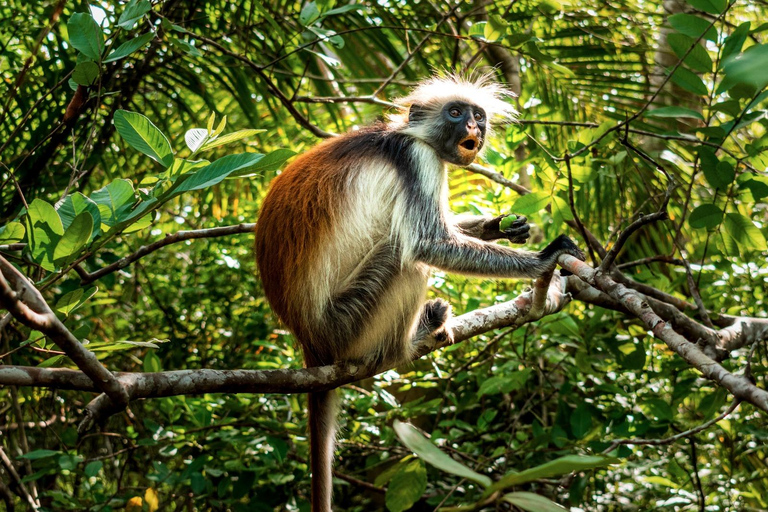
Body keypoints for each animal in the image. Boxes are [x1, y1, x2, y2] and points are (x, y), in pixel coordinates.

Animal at [255, 74, 584, 510]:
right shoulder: (417, 160)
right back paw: (410, 340)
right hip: (347, 323)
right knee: (404, 256)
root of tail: (308, 339)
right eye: (456, 113)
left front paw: (501, 225)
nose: (473, 127)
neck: (406, 134)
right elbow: (428, 243)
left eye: (478, 115)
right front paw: (544, 259)